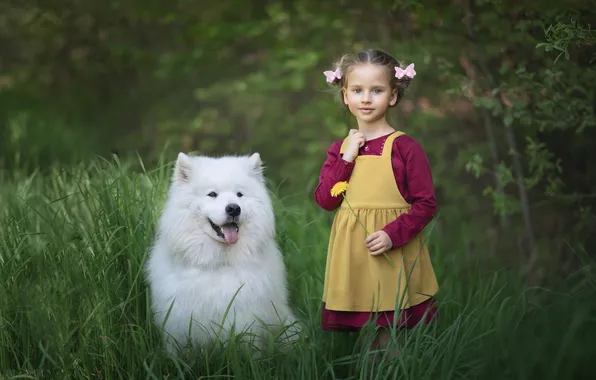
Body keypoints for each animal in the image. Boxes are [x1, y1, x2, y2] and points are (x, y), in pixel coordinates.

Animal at [147, 151, 300, 354]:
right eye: (212, 194)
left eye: (239, 194)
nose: (234, 208)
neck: (218, 263)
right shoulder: (178, 324)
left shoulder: (244, 321)